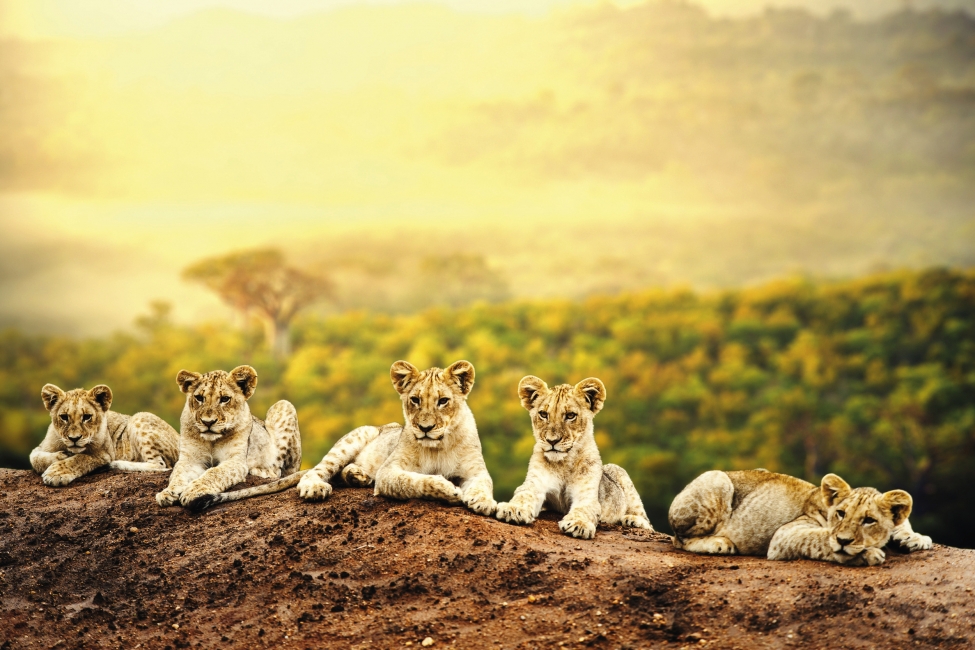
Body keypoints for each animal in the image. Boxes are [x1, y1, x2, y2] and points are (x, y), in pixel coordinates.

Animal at [30, 384, 179, 486]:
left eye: (87, 417)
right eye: (64, 417)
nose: (74, 439)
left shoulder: (103, 453)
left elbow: (80, 459)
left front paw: (56, 473)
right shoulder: (41, 447)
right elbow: (34, 458)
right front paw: (60, 456)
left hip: (140, 416)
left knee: (161, 465)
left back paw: (115, 464)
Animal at [155, 365, 302, 512]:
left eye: (225, 399)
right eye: (199, 398)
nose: (208, 422)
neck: (212, 441)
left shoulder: (235, 461)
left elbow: (215, 473)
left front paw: (193, 491)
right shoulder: (190, 460)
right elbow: (178, 475)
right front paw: (168, 493)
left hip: (284, 405)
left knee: (279, 471)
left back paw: (261, 470)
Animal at [295, 360, 497, 516]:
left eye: (443, 401)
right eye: (415, 400)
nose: (425, 428)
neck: (439, 447)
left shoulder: (475, 470)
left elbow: (484, 483)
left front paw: (485, 502)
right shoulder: (388, 471)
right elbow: (414, 480)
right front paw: (447, 488)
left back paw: (358, 476)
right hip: (354, 439)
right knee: (318, 470)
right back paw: (314, 487)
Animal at [494, 375, 653, 539]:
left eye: (570, 415)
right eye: (543, 414)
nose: (552, 441)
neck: (563, 463)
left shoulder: (587, 495)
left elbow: (583, 509)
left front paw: (578, 525)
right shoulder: (535, 484)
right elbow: (524, 494)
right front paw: (513, 509)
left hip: (621, 474)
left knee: (648, 522)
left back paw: (632, 520)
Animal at [669, 469, 933, 566]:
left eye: (869, 520)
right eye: (841, 513)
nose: (844, 540)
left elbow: (902, 522)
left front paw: (915, 538)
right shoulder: (783, 536)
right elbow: (821, 538)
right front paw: (865, 553)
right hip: (718, 479)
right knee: (679, 539)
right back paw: (719, 543)